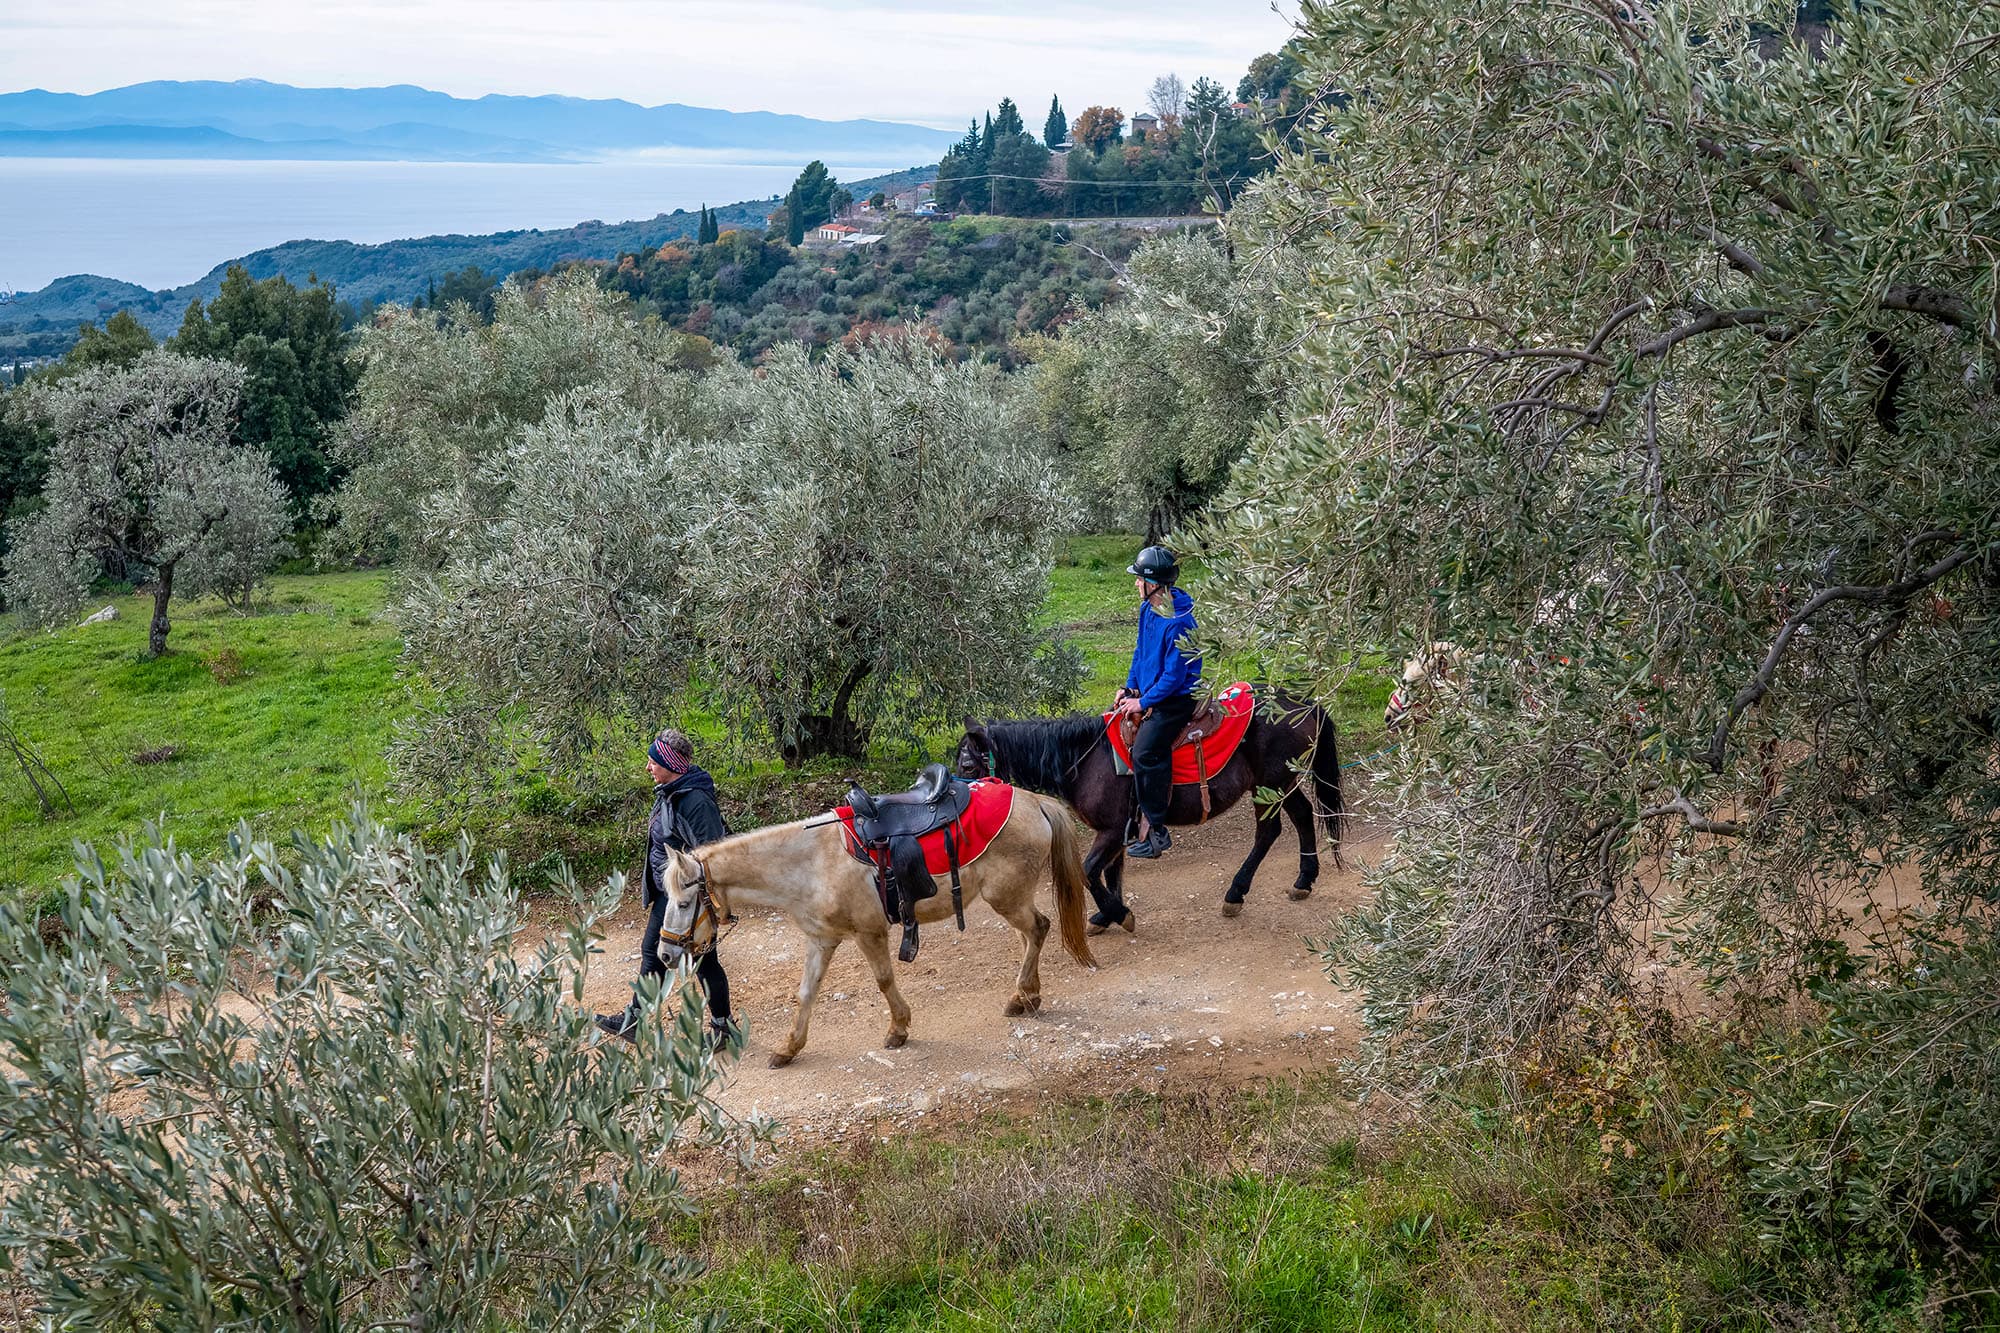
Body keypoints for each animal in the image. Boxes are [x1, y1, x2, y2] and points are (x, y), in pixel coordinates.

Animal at [652, 789, 1095, 1068]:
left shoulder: (869, 933)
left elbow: (883, 979)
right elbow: (806, 993)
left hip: (1006, 897)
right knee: (1029, 935)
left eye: (684, 903)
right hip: (1011, 898)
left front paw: (898, 1029)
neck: (811, 863)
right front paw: (789, 1048)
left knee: (1038, 929)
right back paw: (1028, 995)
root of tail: (1035, 801)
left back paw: (1021, 997)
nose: (666, 954)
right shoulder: (821, 940)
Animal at [955, 689, 1343, 930]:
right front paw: (1105, 917)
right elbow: (1111, 872)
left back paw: (1246, 891)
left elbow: (1089, 871)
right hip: (1274, 785)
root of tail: (1304, 703)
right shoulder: (1116, 831)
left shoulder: (1112, 830)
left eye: (968, 766)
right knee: (1293, 819)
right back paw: (1296, 882)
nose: (956, 804)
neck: (1085, 757)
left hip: (1272, 784)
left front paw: (1118, 913)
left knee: (1277, 827)